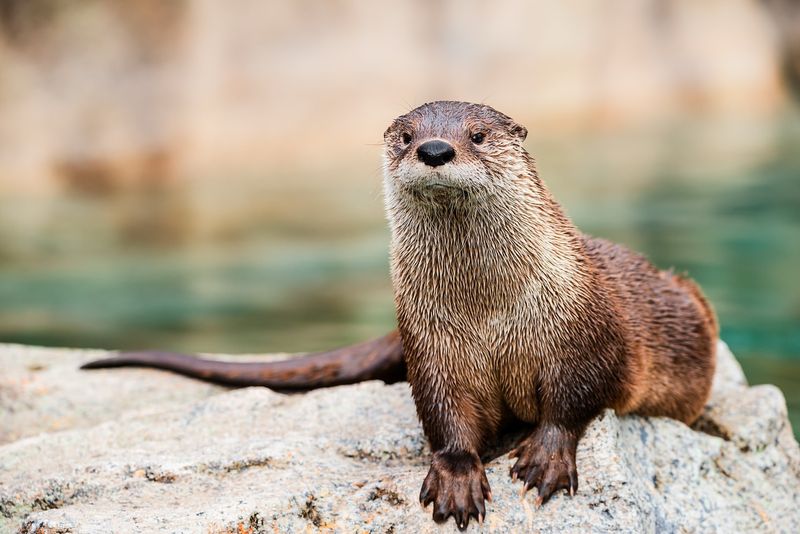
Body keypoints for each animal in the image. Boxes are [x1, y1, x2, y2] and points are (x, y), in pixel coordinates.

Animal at [83, 100, 720, 532]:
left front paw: (544, 454)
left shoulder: (587, 328)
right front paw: (458, 477)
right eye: (409, 136)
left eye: (477, 135)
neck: (490, 311)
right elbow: (444, 414)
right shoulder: (430, 345)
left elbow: (579, 394)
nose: (435, 150)